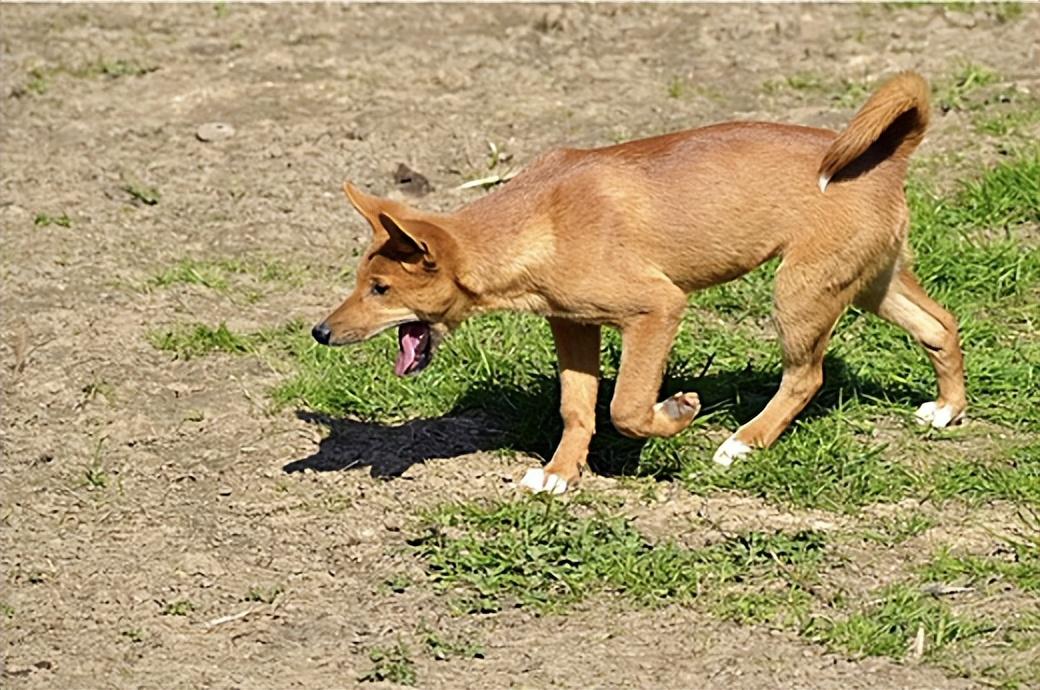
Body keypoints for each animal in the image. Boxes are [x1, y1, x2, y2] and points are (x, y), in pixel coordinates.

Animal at [314, 72, 965, 493]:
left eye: (380, 290)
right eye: (360, 282)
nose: (320, 332)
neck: (538, 220)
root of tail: (889, 157)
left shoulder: (658, 308)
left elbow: (626, 406)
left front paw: (675, 412)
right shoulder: (572, 325)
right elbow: (578, 408)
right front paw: (559, 474)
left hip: (800, 291)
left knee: (807, 376)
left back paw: (744, 441)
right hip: (867, 281)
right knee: (941, 325)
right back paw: (948, 410)